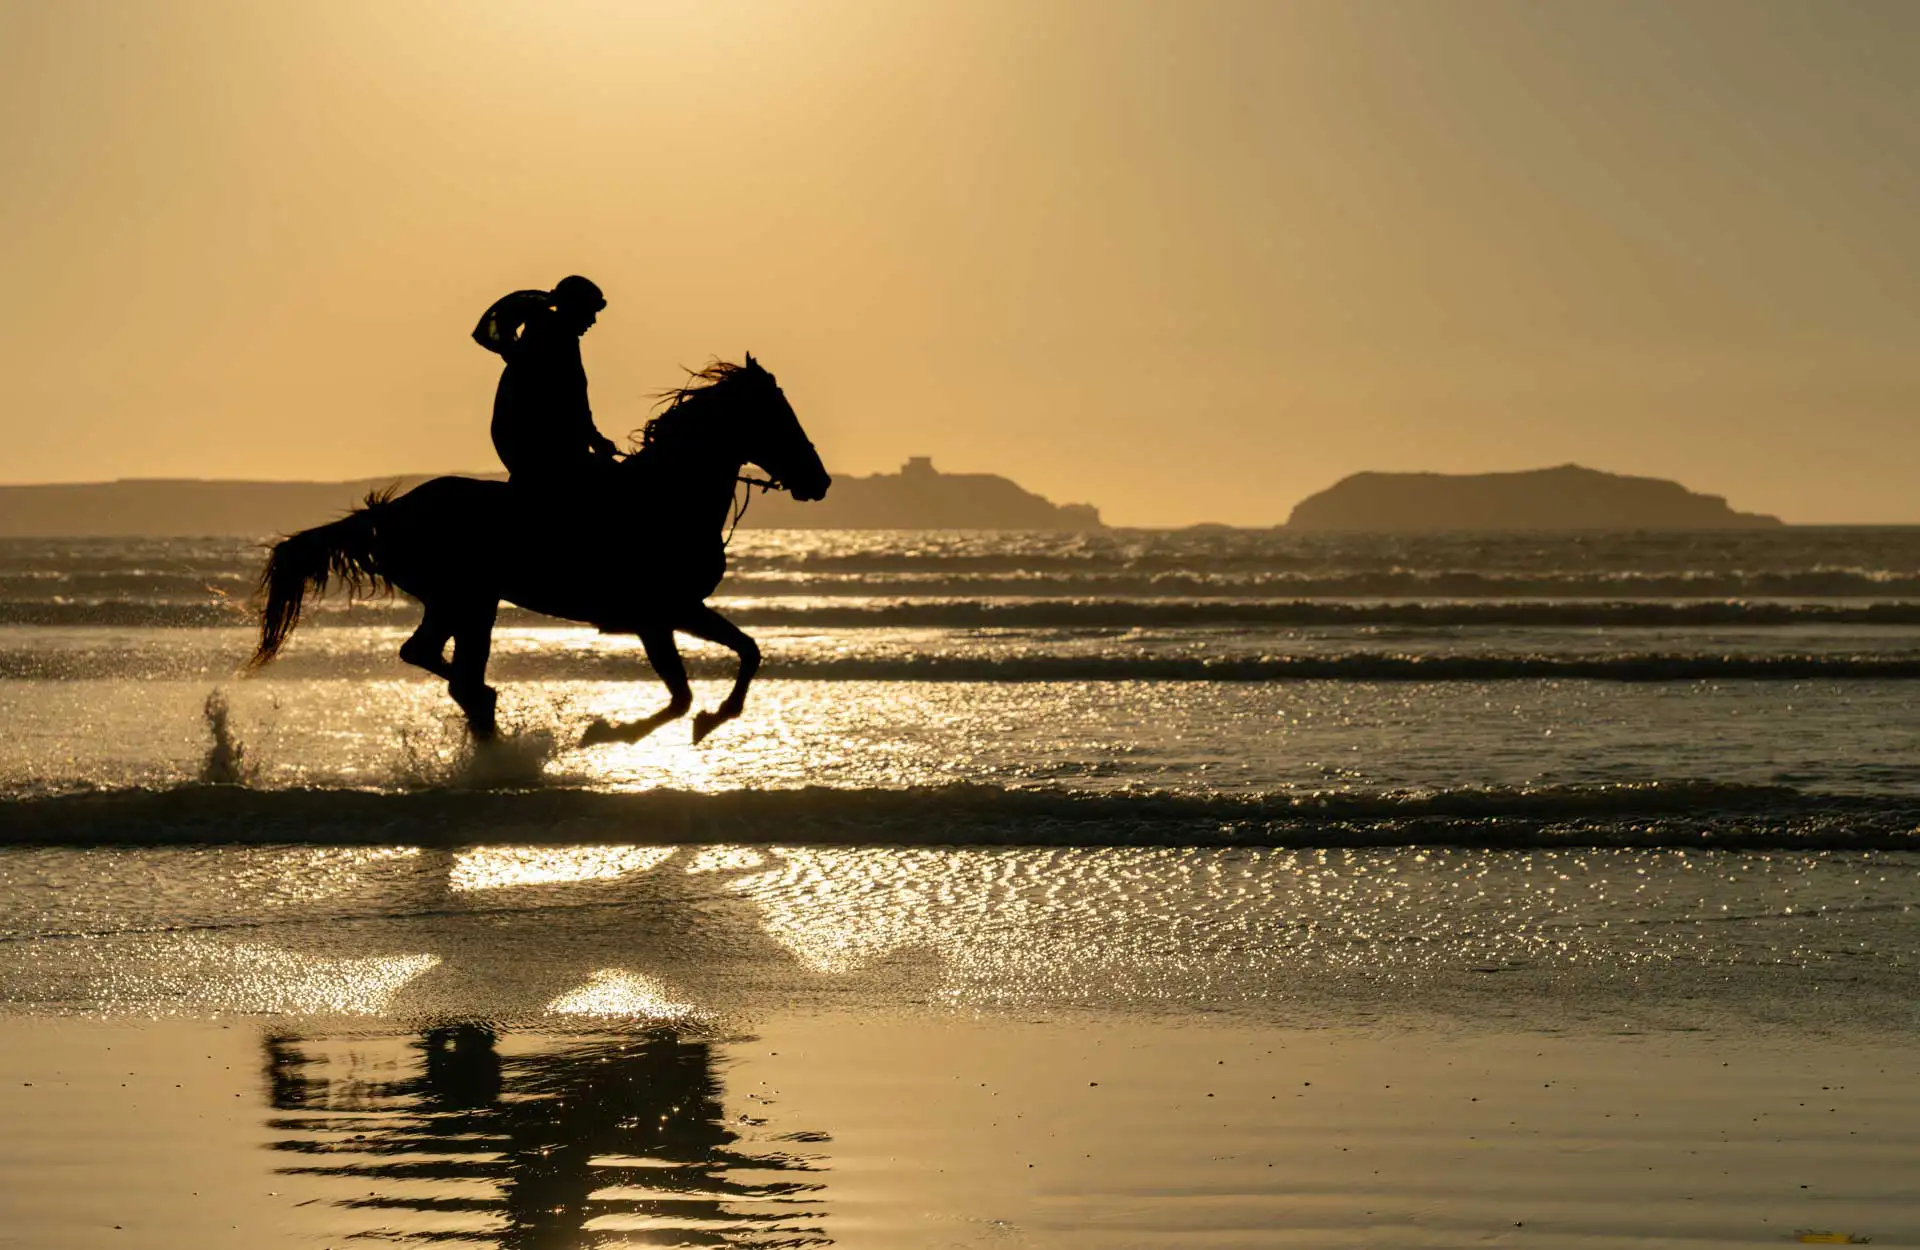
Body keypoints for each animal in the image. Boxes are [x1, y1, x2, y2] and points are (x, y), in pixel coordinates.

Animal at [249, 355, 830, 745]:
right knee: (447, 669)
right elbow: (702, 679)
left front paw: (704, 719)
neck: (666, 495)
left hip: (463, 604)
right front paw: (627, 730)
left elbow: (731, 660)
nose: (819, 481)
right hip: (468, 601)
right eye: (778, 415)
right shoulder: (664, 612)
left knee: (438, 664)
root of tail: (386, 514)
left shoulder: (669, 614)